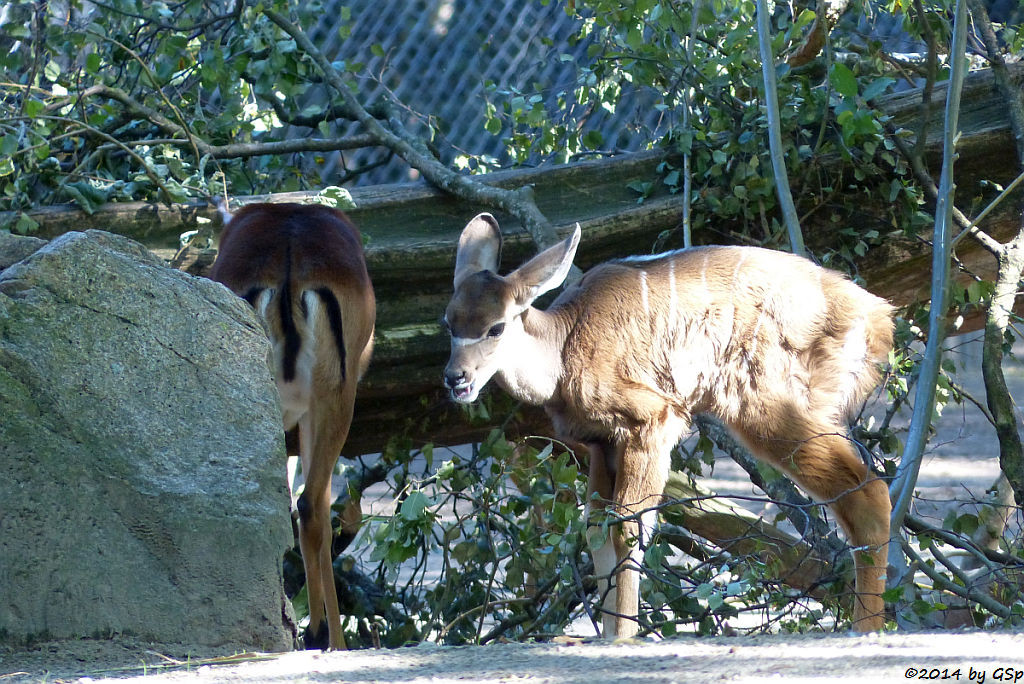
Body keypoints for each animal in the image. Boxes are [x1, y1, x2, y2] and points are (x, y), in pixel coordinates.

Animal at [444, 214, 892, 634]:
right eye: (449, 322)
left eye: (496, 327)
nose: (455, 379)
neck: (564, 344)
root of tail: (875, 317)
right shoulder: (601, 444)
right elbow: (596, 530)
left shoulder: (655, 419)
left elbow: (630, 528)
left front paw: (625, 637)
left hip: (768, 407)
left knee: (868, 492)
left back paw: (863, 630)